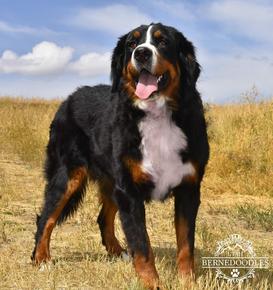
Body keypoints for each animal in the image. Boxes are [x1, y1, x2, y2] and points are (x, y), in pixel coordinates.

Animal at [32, 23, 210, 288]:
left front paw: (188, 281)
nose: (142, 53)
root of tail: (70, 97)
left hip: (111, 182)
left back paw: (117, 252)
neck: (157, 115)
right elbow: (142, 245)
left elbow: (186, 244)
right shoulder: (129, 191)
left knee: (103, 219)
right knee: (47, 218)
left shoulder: (188, 188)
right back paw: (41, 258)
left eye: (163, 41)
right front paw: (152, 283)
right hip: (67, 176)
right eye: (131, 44)